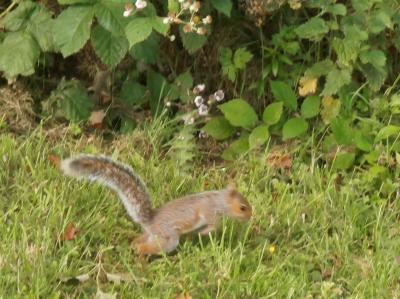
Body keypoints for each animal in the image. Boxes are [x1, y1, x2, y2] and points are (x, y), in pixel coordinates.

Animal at [60, 156, 252, 256]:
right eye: (242, 208)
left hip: (153, 235)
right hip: (168, 237)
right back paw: (141, 255)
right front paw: (205, 232)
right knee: (150, 247)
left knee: (141, 240)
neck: (219, 200)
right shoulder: (208, 210)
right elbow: (213, 225)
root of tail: (150, 221)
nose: (251, 216)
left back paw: (133, 246)